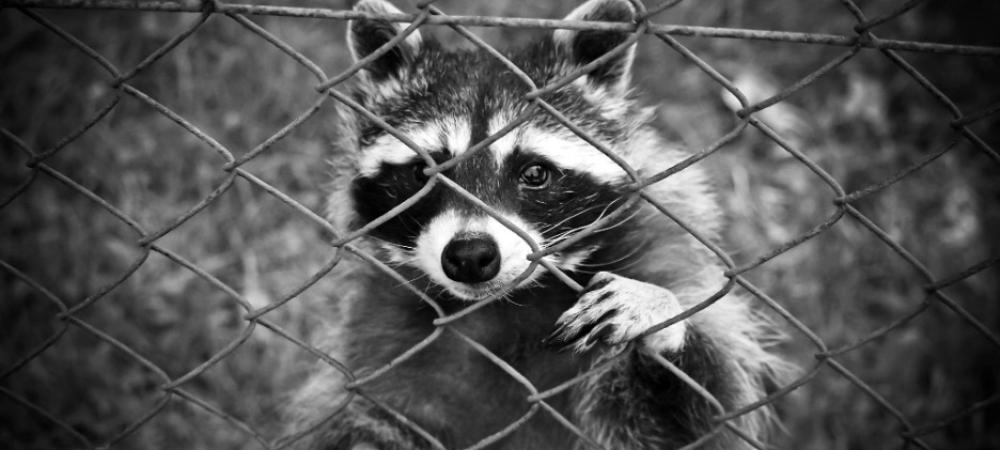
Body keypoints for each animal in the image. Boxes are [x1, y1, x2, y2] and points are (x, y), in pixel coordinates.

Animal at [289, 0, 789, 449]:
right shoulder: (376, 341)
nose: (470, 257)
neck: (506, 307)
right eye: (422, 172)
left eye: (534, 173)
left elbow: (698, 419)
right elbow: (363, 424)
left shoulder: (662, 255)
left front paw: (659, 315)